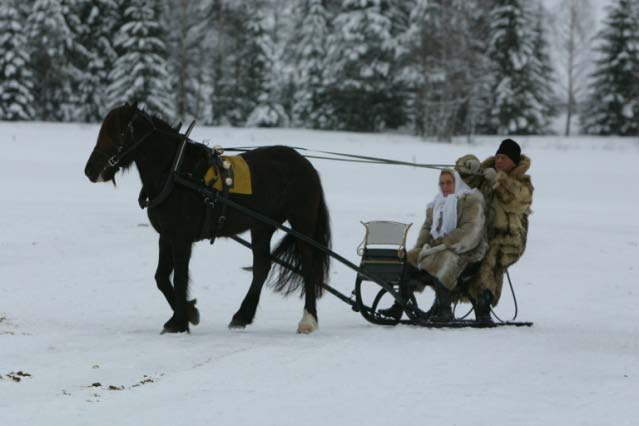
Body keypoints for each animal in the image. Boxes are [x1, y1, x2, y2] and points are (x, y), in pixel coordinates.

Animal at [84, 102, 332, 332]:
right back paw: (242, 315)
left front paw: (179, 321)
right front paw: (189, 312)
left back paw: (308, 320)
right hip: (261, 227)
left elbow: (180, 277)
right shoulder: (166, 236)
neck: (176, 174)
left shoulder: (182, 238)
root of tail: (304, 163)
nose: (90, 170)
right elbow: (162, 278)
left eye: (118, 133)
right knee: (261, 267)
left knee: (308, 267)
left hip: (302, 222)